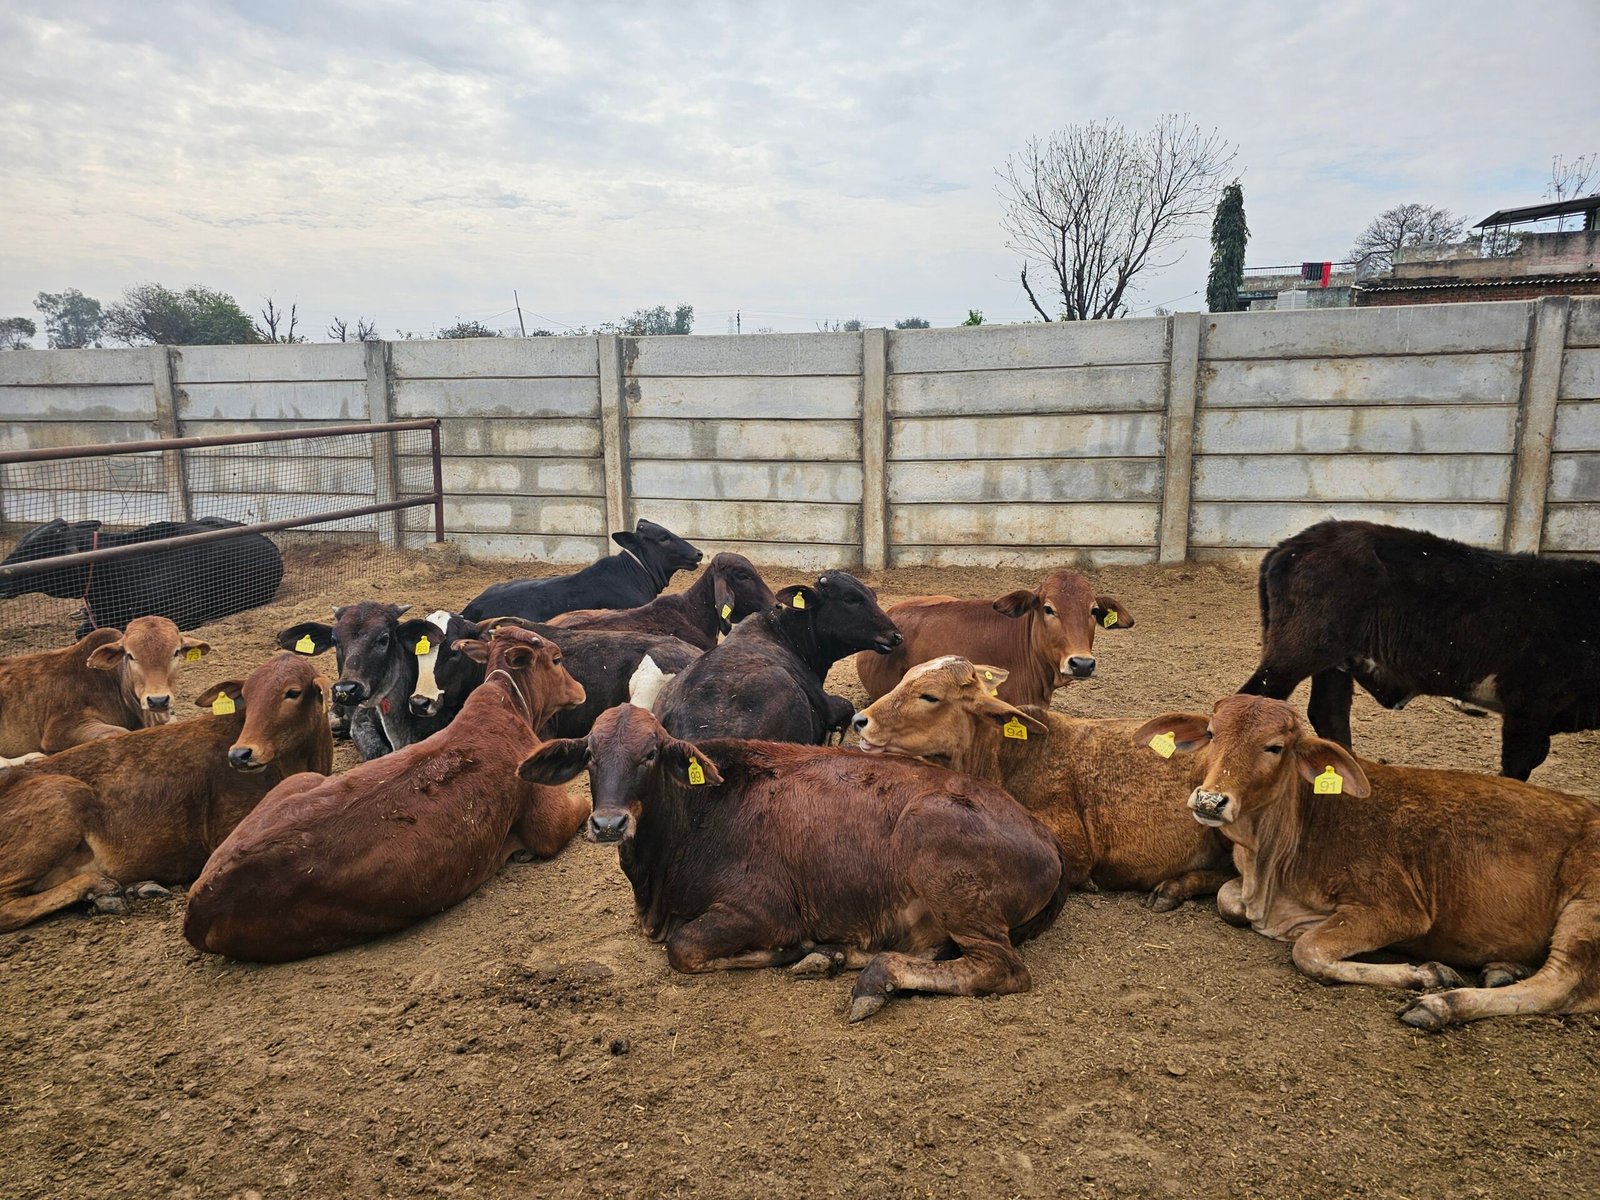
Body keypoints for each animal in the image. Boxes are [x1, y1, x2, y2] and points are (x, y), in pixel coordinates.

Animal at [0, 653, 332, 932]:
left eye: (292, 692)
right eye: (246, 697)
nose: (240, 754)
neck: (295, 763)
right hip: (63, 797)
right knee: (7, 907)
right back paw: (103, 886)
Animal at [184, 625, 590, 963]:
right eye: (557, 659)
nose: (582, 690)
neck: (511, 708)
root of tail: (199, 901)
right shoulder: (550, 823)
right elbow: (579, 808)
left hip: (300, 781)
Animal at [518, 704, 1076, 1022]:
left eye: (650, 754)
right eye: (590, 754)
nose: (609, 824)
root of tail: (1046, 840)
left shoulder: (760, 911)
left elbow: (683, 948)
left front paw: (795, 949)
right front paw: (816, 952)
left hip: (941, 860)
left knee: (1002, 969)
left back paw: (864, 976)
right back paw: (836, 957)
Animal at [1133, 695, 1600, 1031]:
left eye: (1275, 747)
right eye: (1212, 733)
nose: (1210, 801)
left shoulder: (1398, 908)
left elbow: (1309, 950)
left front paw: (1427, 974)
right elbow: (1231, 901)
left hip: (1585, 910)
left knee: (1562, 985)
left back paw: (1440, 1005)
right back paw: (1502, 969)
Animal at [1238, 519, 1600, 780]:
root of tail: (1289, 547)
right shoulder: (1529, 707)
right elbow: (1518, 767)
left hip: (1333, 659)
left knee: (1330, 714)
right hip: (1296, 654)